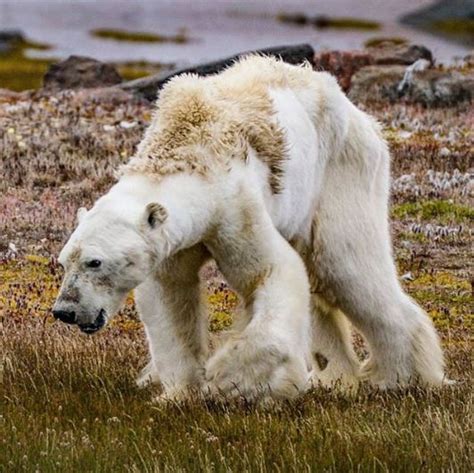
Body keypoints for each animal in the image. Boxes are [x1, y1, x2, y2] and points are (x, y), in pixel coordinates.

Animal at [53, 54, 446, 398]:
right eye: (64, 261)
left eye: (95, 262)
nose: (64, 311)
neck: (187, 149)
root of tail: (363, 117)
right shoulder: (173, 242)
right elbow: (170, 296)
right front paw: (179, 392)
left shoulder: (234, 207)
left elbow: (271, 272)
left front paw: (231, 380)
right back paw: (333, 376)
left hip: (341, 172)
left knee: (347, 267)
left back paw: (398, 377)